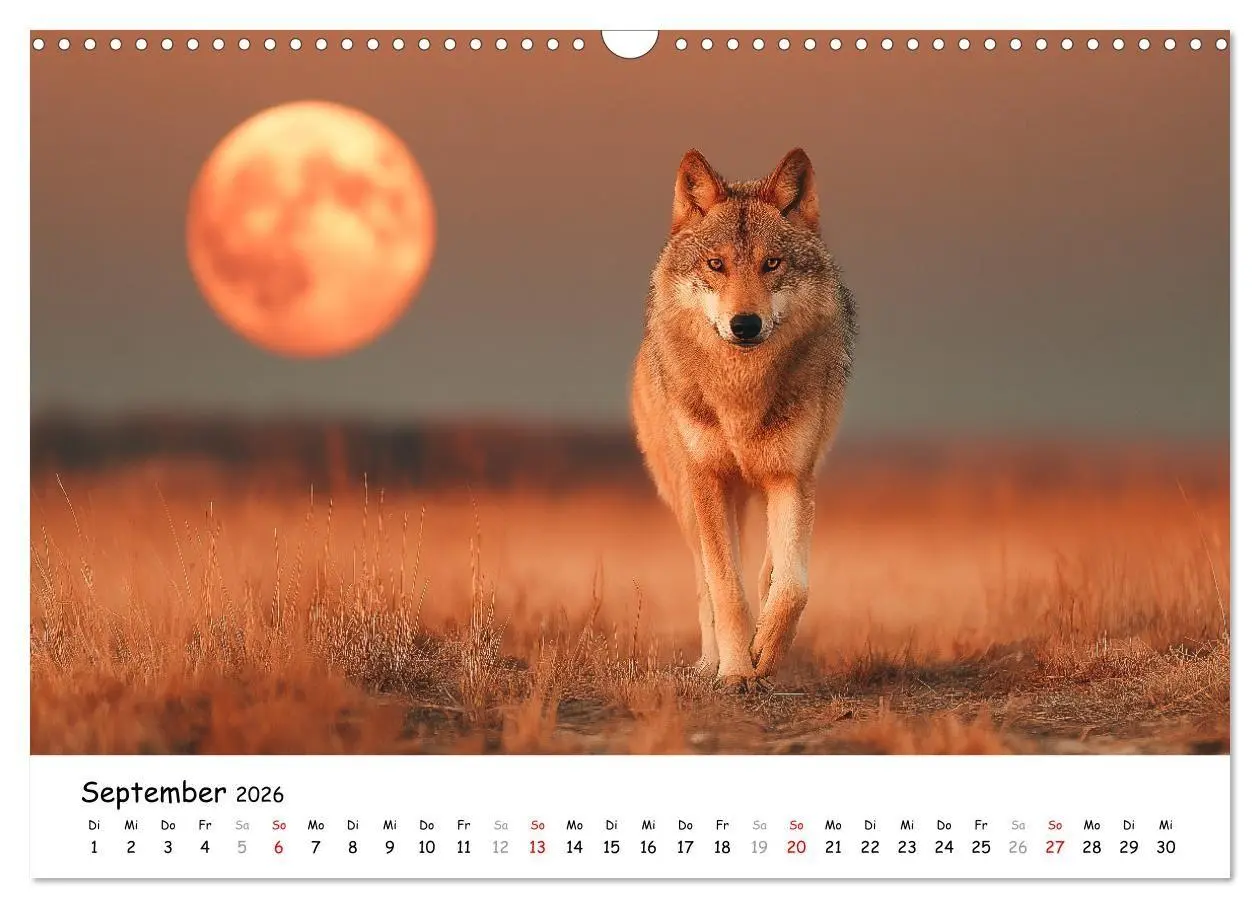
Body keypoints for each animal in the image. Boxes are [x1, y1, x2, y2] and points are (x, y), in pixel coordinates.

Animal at [631, 148, 856, 690]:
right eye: (717, 265)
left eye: (771, 263)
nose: (745, 324)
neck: (741, 398)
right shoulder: (709, 481)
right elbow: (725, 590)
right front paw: (734, 672)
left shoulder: (792, 476)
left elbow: (792, 586)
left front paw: (765, 654)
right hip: (689, 500)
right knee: (705, 583)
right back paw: (710, 662)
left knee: (770, 568)